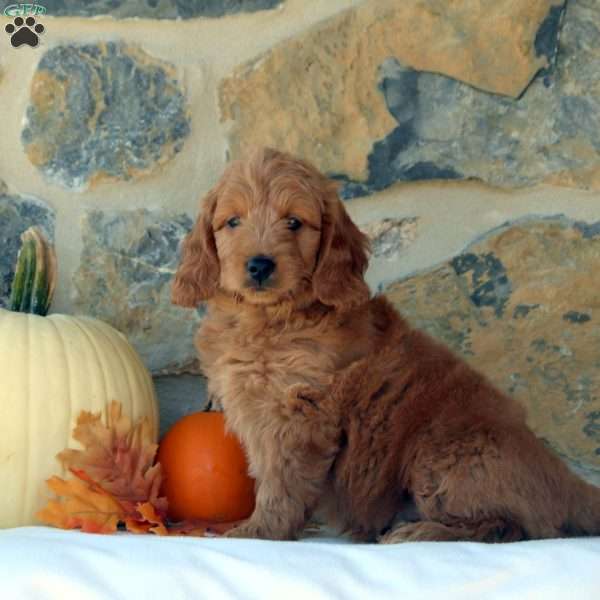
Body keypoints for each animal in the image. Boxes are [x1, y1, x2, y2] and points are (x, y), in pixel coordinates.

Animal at [172, 148, 600, 540]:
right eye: (232, 222)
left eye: (293, 222)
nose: (259, 265)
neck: (267, 321)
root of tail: (563, 478)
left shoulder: (300, 415)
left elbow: (281, 481)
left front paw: (258, 531)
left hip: (444, 456)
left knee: (510, 526)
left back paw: (420, 532)